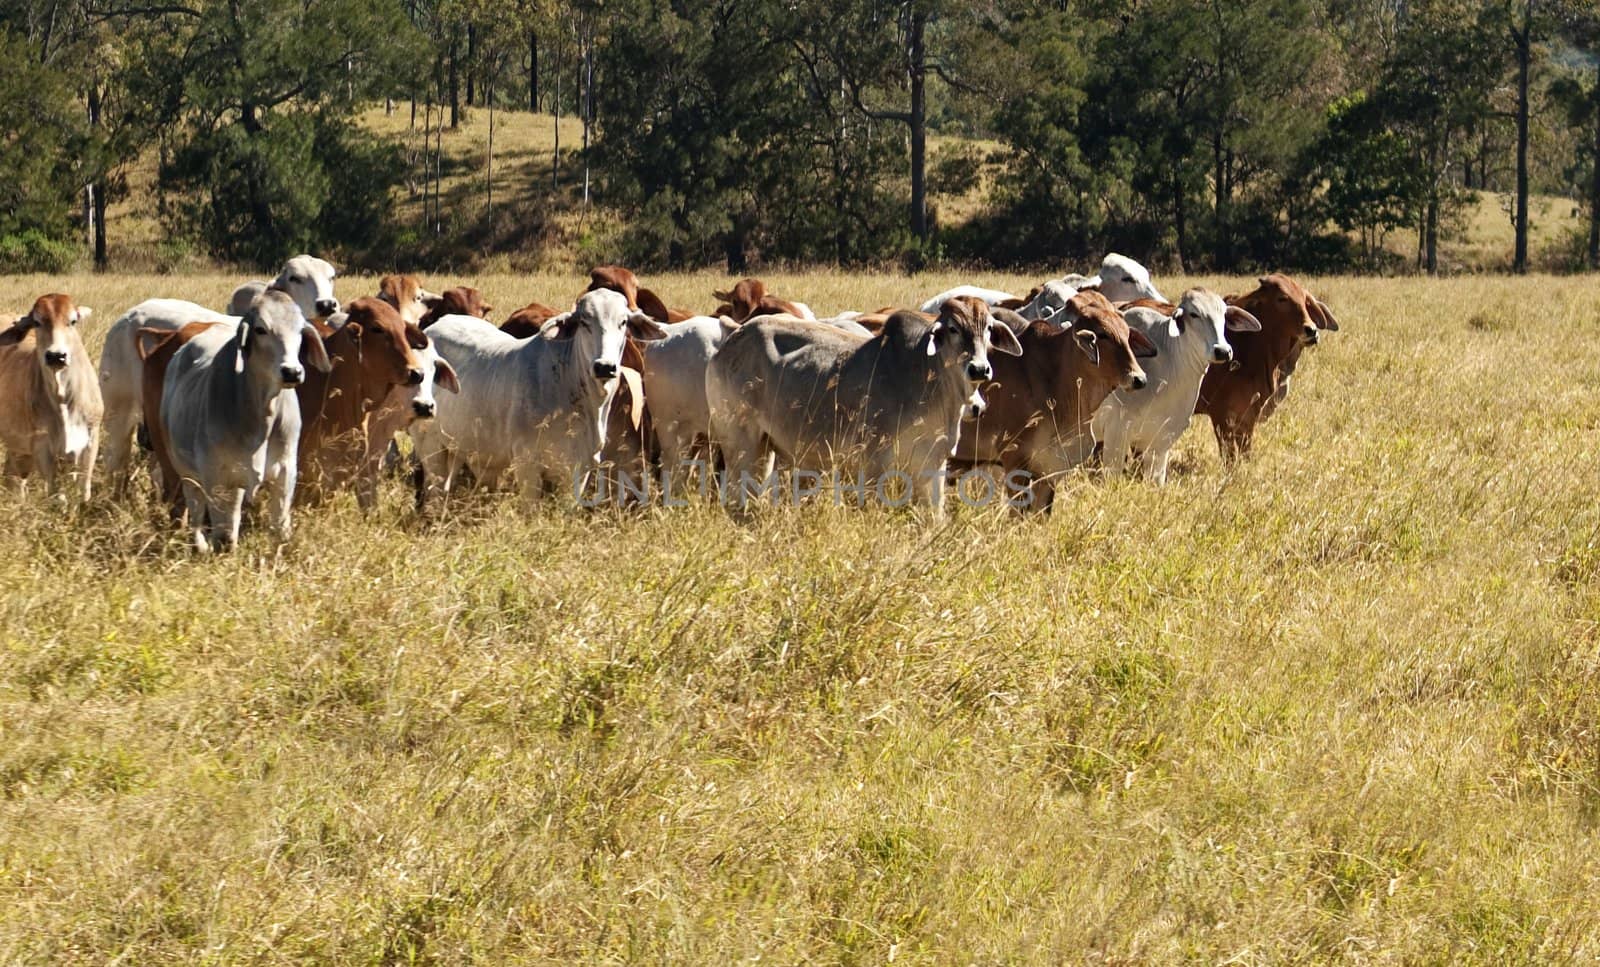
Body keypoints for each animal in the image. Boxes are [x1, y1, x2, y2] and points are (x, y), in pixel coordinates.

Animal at [160, 288, 329, 550]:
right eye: (260, 329)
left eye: (300, 330)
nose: (292, 371)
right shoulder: (219, 479)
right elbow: (225, 537)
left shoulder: (285, 472)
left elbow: (280, 529)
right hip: (186, 472)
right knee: (196, 511)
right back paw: (200, 546)